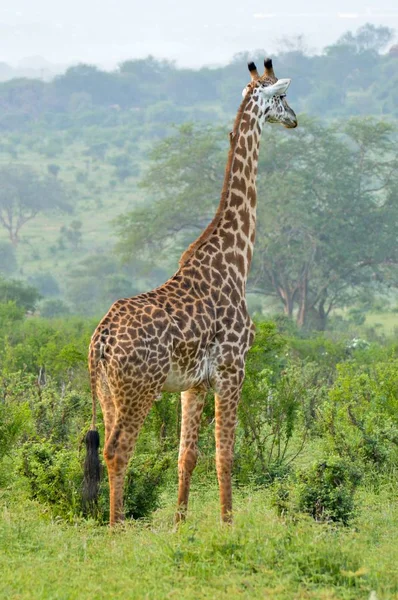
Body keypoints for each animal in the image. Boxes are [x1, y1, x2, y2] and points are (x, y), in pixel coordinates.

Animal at [84, 57, 296, 524]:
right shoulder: (234, 368)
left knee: (104, 448)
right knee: (118, 450)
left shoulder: (193, 384)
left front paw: (181, 525)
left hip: (107, 390)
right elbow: (226, 455)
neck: (236, 261)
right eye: (283, 96)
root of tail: (101, 341)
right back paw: (116, 528)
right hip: (139, 389)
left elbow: (188, 456)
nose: (295, 118)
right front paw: (228, 524)